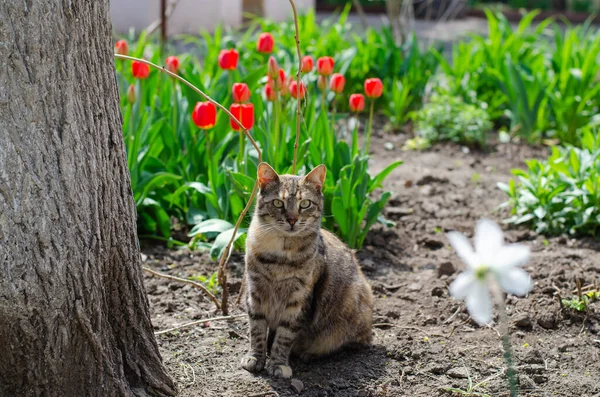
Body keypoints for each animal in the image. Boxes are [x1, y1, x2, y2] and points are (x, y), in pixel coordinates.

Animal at [240, 162, 372, 378]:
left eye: (305, 204)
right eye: (278, 203)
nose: (292, 219)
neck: (280, 256)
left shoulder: (299, 299)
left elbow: (284, 337)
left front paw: (278, 364)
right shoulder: (255, 293)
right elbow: (257, 330)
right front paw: (255, 358)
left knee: (353, 343)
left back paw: (310, 354)